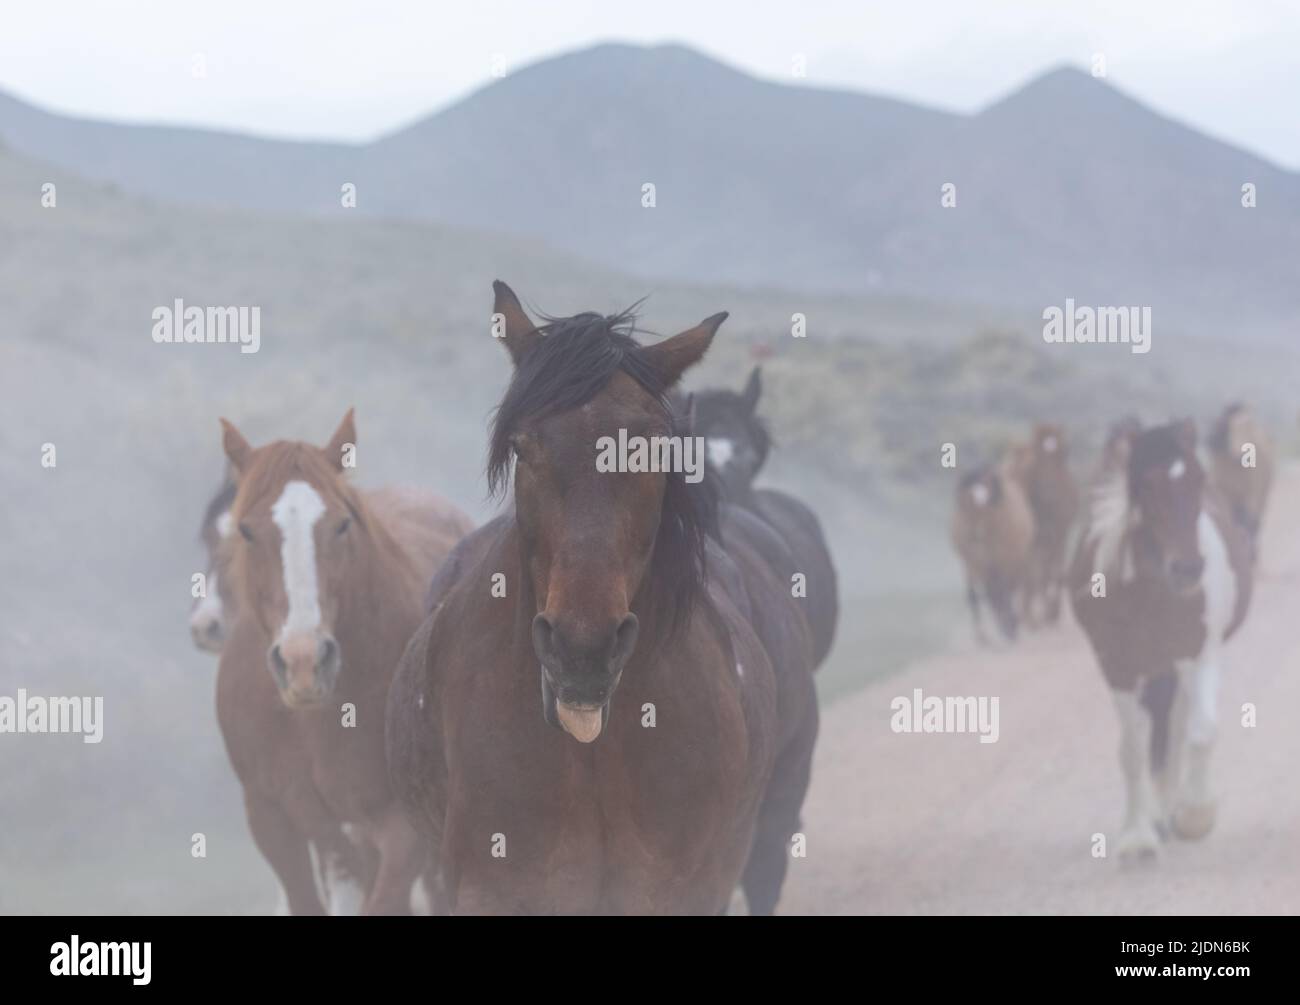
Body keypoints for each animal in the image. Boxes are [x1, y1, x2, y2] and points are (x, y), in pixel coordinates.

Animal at [950, 452, 1036, 643]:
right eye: (970, 487)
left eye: (987, 484)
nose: (980, 501)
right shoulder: (974, 563)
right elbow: (977, 596)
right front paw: (985, 636)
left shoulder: (1003, 561)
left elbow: (1003, 592)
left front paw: (1009, 626)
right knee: (989, 594)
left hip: (1015, 560)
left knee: (1010, 589)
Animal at [1011, 423, 1080, 626]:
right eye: (1037, 456)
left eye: (1065, 453)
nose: (1049, 490)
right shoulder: (1032, 543)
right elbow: (1034, 577)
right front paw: (1033, 618)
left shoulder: (1061, 535)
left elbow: (1054, 573)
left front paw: (1052, 612)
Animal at [1068, 420, 1253, 863]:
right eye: (1146, 486)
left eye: (1199, 478)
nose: (1188, 569)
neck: (1150, 595)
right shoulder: (1117, 667)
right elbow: (1133, 752)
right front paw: (1137, 837)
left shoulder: (1199, 655)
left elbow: (1201, 732)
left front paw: (1196, 815)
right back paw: (1156, 817)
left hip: (1176, 667)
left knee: (1178, 727)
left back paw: (1173, 811)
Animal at [1207, 402, 1274, 546]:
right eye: (1230, 428)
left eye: (1248, 428)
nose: (1241, 452)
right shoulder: (1222, 493)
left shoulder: (1252, 494)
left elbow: (1248, 522)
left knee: (1253, 524)